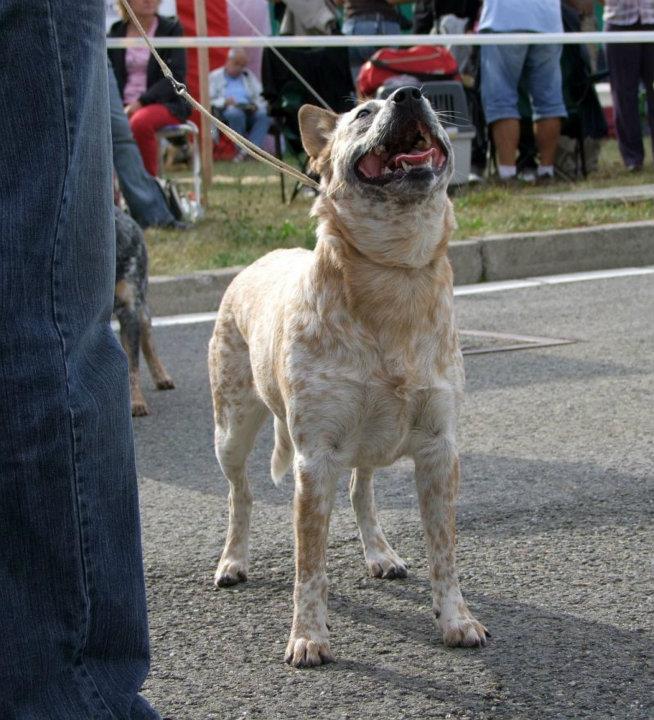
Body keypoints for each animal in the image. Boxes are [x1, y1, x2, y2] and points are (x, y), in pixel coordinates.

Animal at [114, 207, 174, 416]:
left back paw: (162, 376)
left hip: (142, 304)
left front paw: (136, 402)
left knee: (148, 339)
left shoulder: (130, 309)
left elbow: (131, 364)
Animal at [208, 87, 490, 668]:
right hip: (231, 430)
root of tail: (259, 260)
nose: (410, 93)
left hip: (367, 442)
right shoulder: (315, 460)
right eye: (363, 113)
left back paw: (380, 554)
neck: (393, 277)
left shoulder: (439, 448)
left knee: (363, 493)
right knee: (239, 496)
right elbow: (309, 567)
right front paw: (308, 638)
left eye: (418, 96)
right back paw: (232, 561)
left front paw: (457, 621)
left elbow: (444, 552)